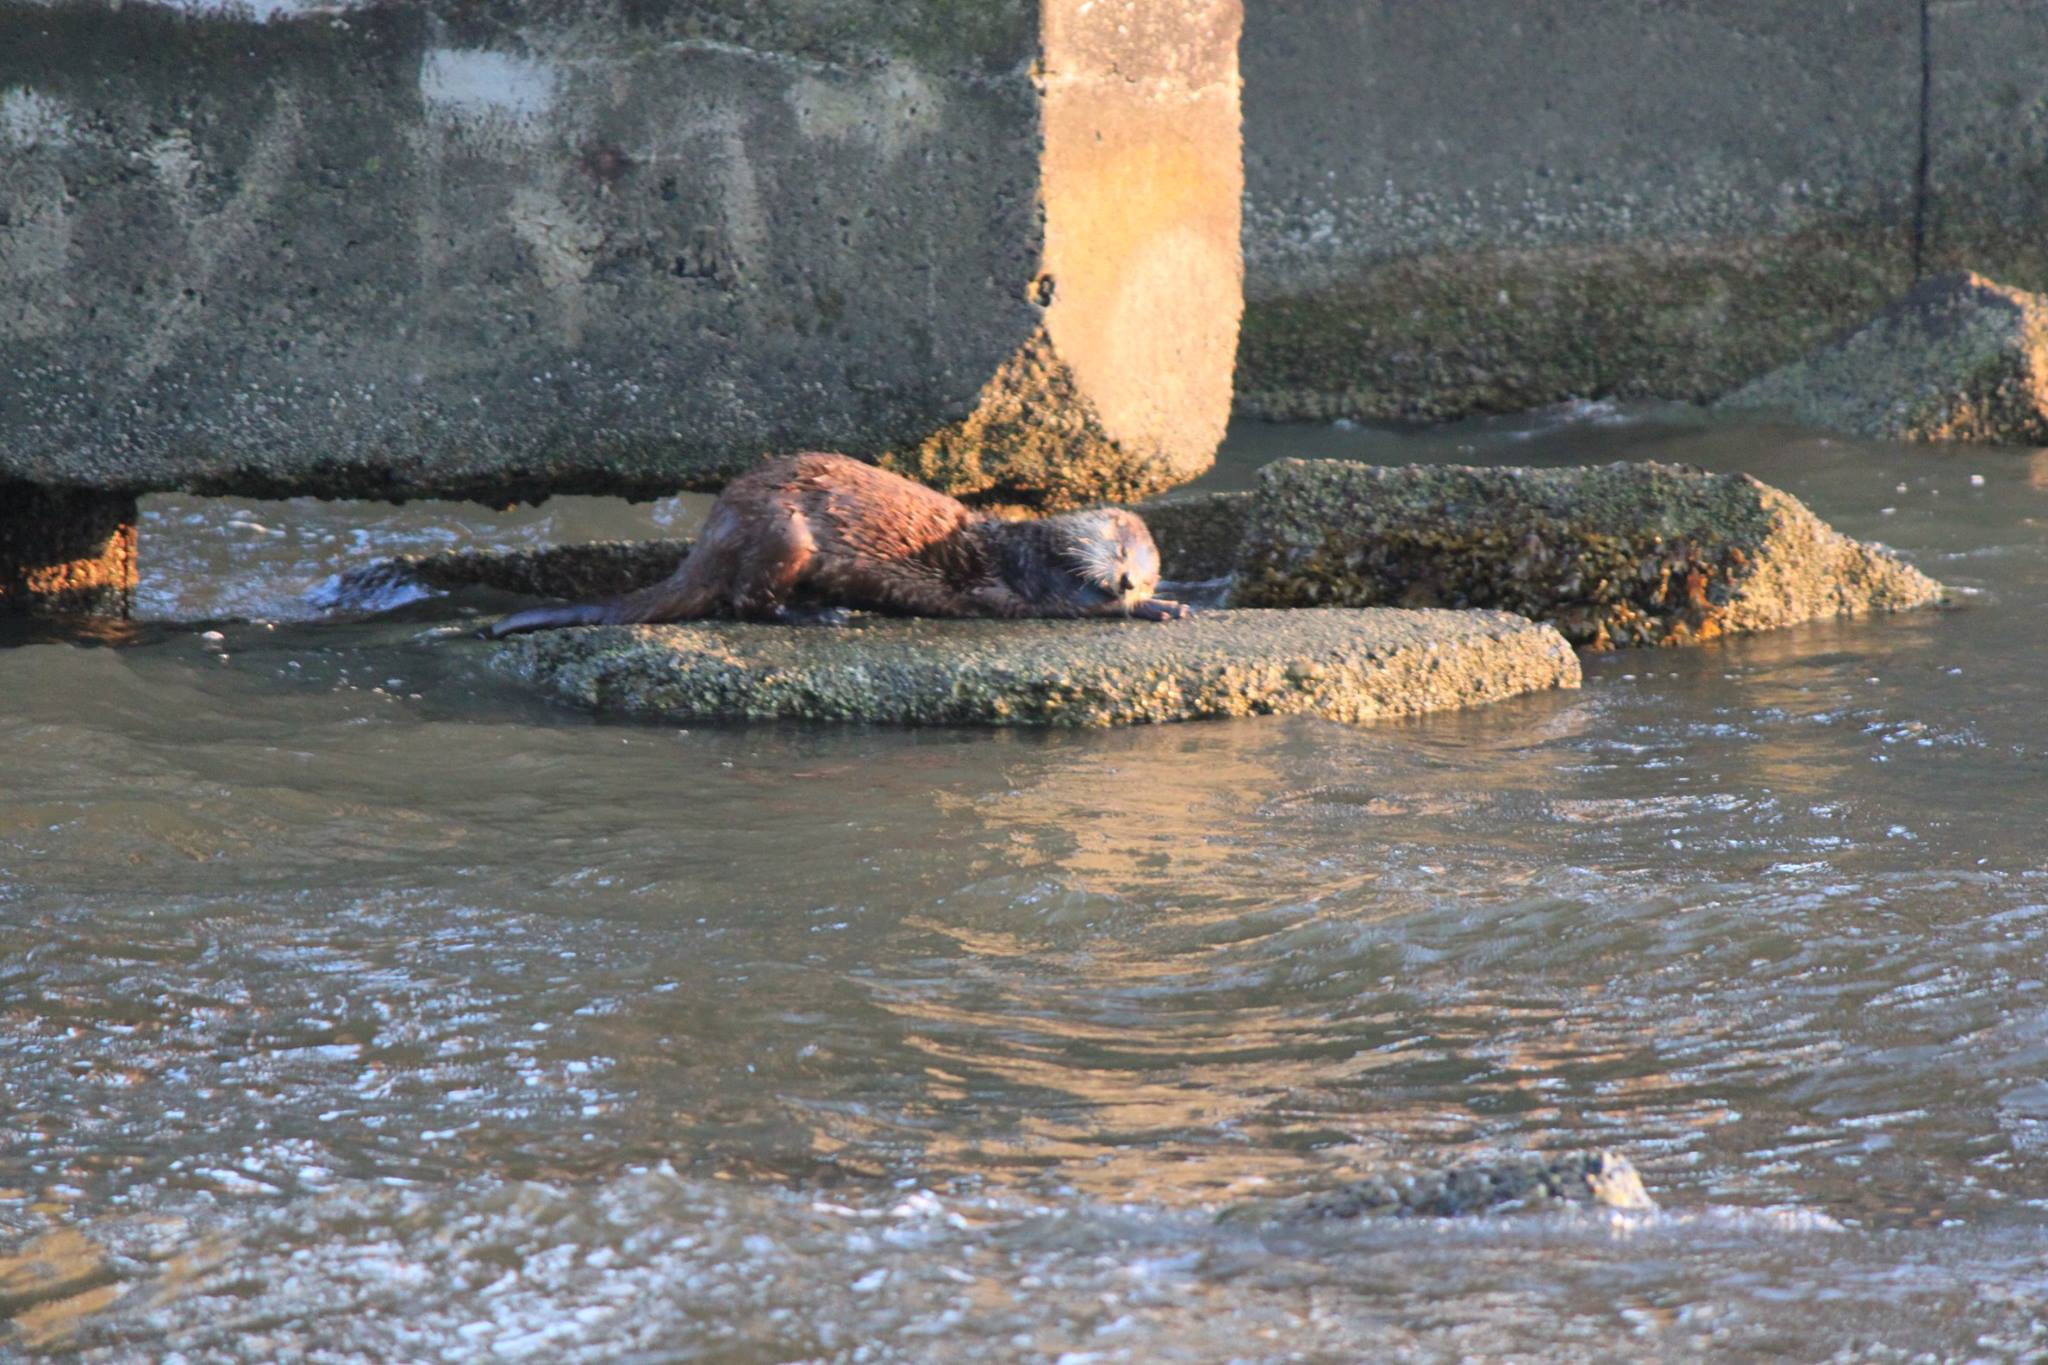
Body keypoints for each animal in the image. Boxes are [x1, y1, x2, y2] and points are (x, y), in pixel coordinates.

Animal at [484, 453, 1191, 638]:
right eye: (1123, 555)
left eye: (1151, 569)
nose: (1135, 583)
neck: (1024, 545)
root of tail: (712, 532)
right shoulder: (1025, 580)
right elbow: (1065, 604)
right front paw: (1163, 609)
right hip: (784, 532)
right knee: (746, 601)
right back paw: (823, 613)